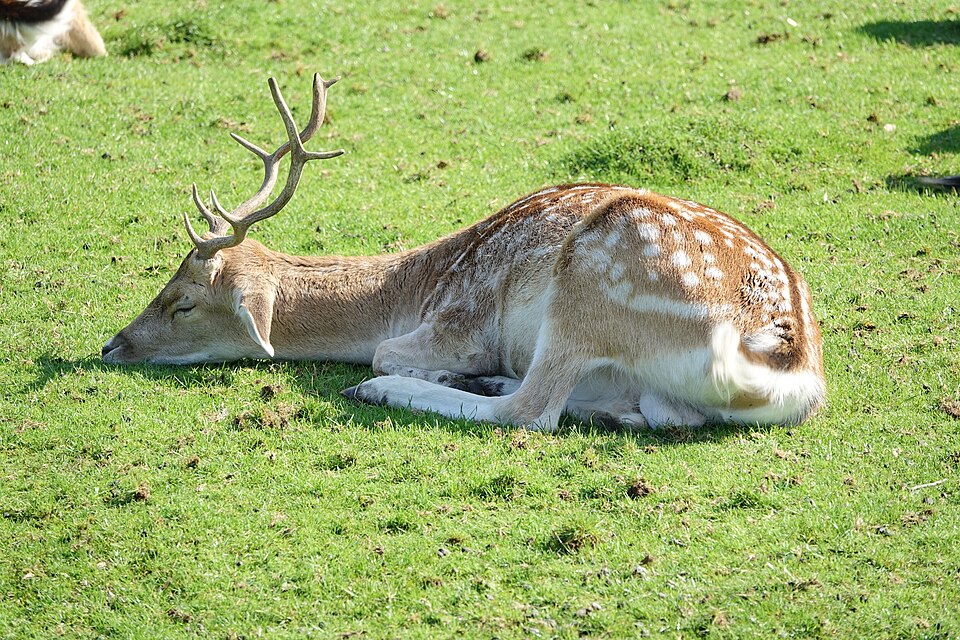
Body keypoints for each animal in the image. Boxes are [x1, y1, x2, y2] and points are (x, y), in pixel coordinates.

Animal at [102, 73, 826, 432]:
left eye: (183, 302)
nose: (111, 345)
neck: (413, 290)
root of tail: (786, 362)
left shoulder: (461, 321)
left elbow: (392, 350)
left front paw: (412, 374)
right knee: (661, 416)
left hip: (590, 283)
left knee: (531, 413)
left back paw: (388, 389)